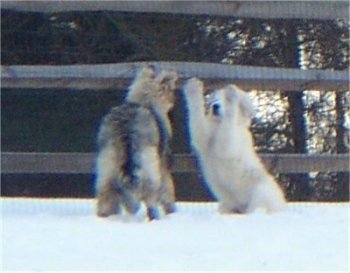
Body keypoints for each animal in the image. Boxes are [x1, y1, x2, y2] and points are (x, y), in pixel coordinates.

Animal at [95, 65, 178, 219]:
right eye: (171, 89)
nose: (173, 101)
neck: (145, 100)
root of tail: (126, 128)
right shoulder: (163, 166)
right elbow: (167, 192)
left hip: (106, 167)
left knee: (106, 198)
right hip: (149, 167)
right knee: (150, 198)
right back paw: (154, 216)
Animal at [182, 77, 286, 214]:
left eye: (223, 100)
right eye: (214, 99)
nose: (215, 106)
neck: (218, 126)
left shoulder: (236, 138)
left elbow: (224, 145)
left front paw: (231, 94)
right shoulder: (206, 138)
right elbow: (199, 132)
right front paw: (193, 86)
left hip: (261, 192)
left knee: (259, 204)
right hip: (228, 203)